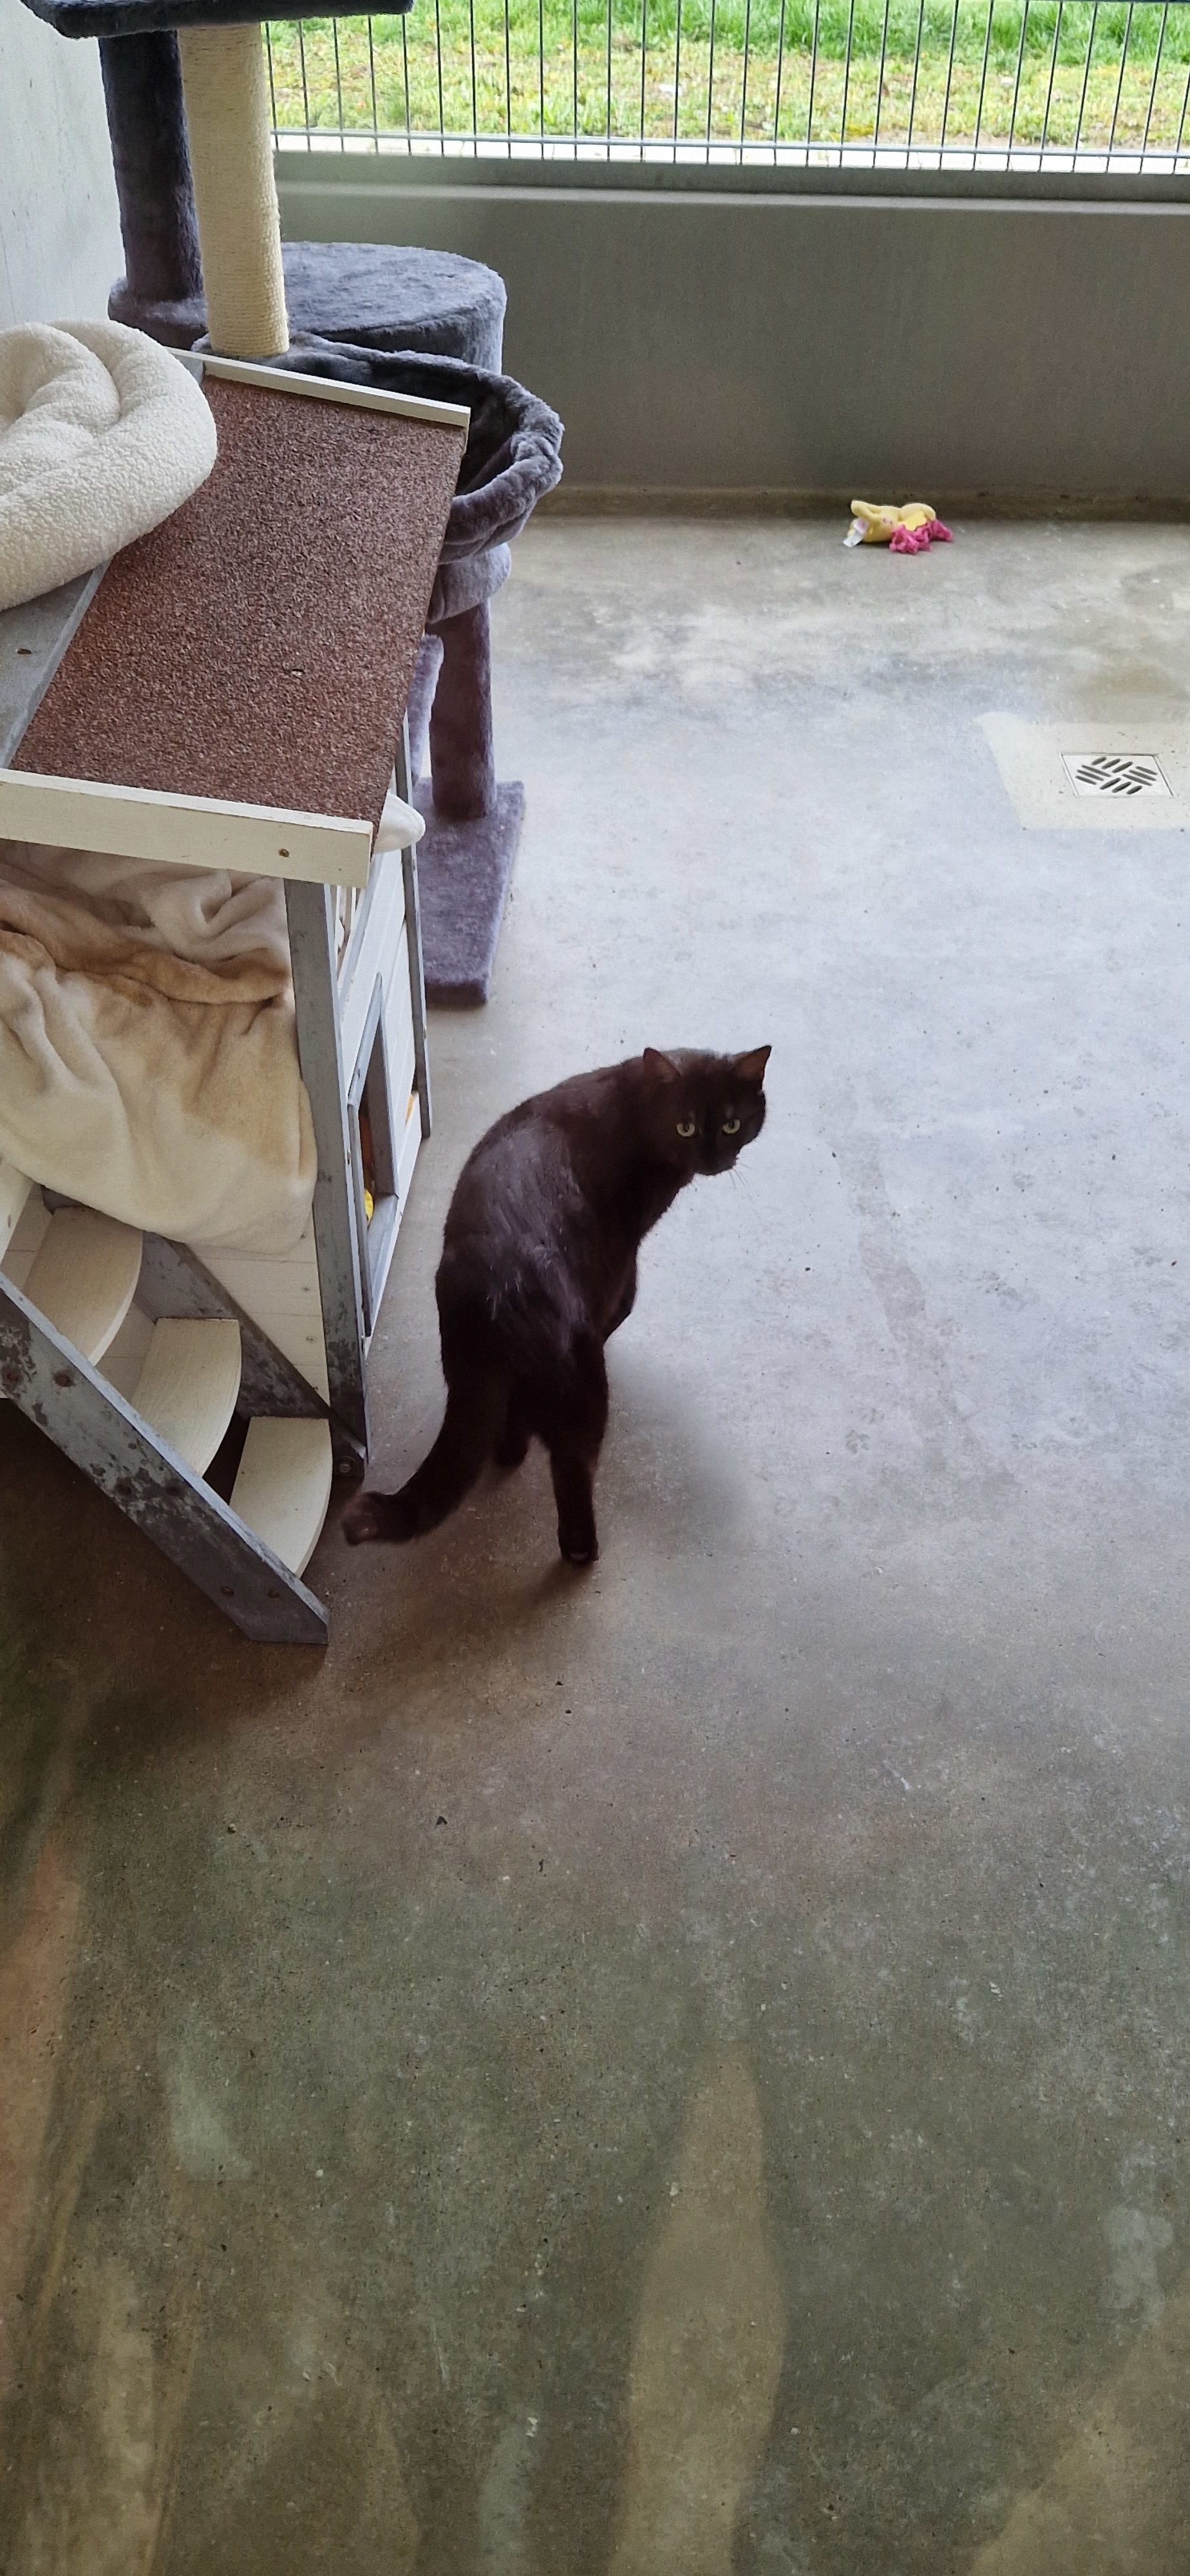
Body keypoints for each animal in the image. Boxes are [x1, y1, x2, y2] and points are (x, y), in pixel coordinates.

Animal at [343, 1044, 770, 1565]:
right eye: (685, 1127)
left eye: (731, 1124)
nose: (712, 1159)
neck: (636, 1106)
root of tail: (490, 1297)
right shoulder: (621, 1257)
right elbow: (625, 1299)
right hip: (582, 1393)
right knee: (571, 1473)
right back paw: (584, 1552)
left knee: (508, 1433)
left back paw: (511, 1450)